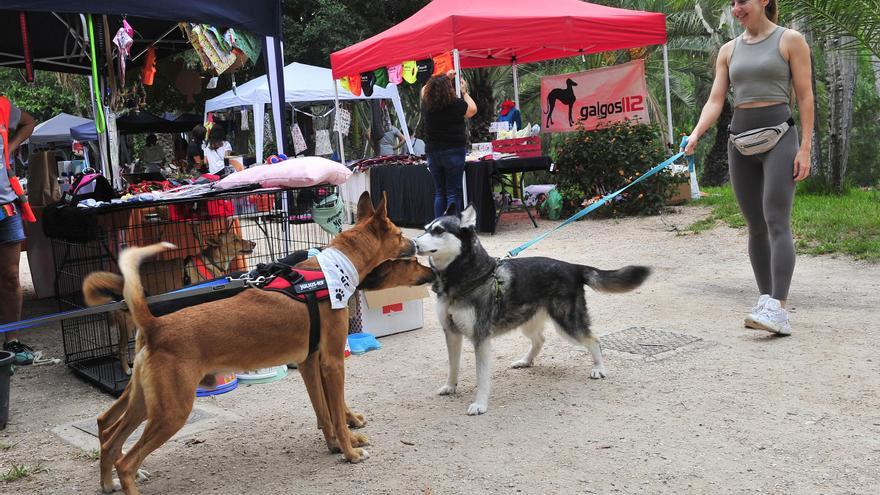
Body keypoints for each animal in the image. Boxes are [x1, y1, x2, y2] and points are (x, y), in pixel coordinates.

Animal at [96, 193, 422, 495]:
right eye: (399, 234)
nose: (417, 245)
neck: (331, 271)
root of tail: (156, 325)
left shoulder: (310, 362)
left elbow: (326, 413)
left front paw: (334, 445)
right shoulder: (331, 362)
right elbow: (337, 414)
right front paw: (350, 451)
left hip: (146, 403)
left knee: (110, 437)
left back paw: (108, 483)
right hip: (171, 412)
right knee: (126, 461)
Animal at [416, 204, 648, 414]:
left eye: (439, 230)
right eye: (425, 228)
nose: (414, 243)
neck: (469, 277)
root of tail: (573, 267)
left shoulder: (480, 338)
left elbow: (481, 377)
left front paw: (480, 404)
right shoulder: (451, 333)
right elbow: (452, 366)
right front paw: (450, 386)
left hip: (568, 325)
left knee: (594, 341)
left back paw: (598, 368)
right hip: (527, 321)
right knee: (540, 340)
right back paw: (526, 361)